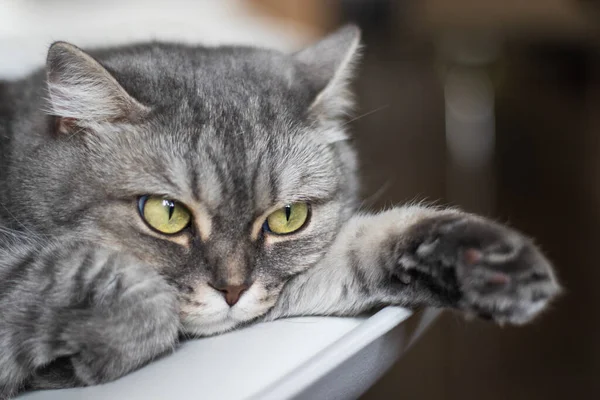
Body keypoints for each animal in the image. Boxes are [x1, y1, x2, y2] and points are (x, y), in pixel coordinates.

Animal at [1, 25, 564, 396]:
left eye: (287, 218)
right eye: (166, 214)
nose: (231, 291)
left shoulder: (281, 286)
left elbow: (360, 246)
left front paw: (489, 261)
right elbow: (133, 296)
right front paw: (85, 359)